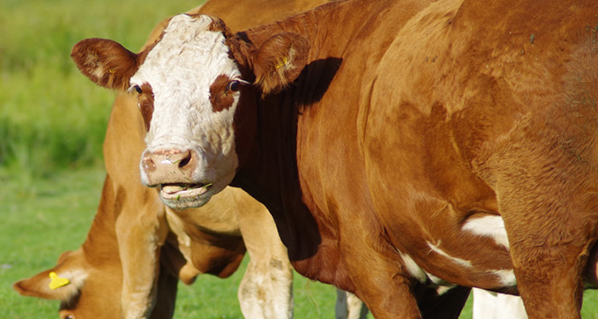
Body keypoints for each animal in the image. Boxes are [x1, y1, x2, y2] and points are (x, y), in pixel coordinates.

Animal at [69, 0, 598, 318]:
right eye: (141, 88)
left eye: (232, 84)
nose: (166, 161)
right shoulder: (449, 276)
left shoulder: (376, 264)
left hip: (546, 256)